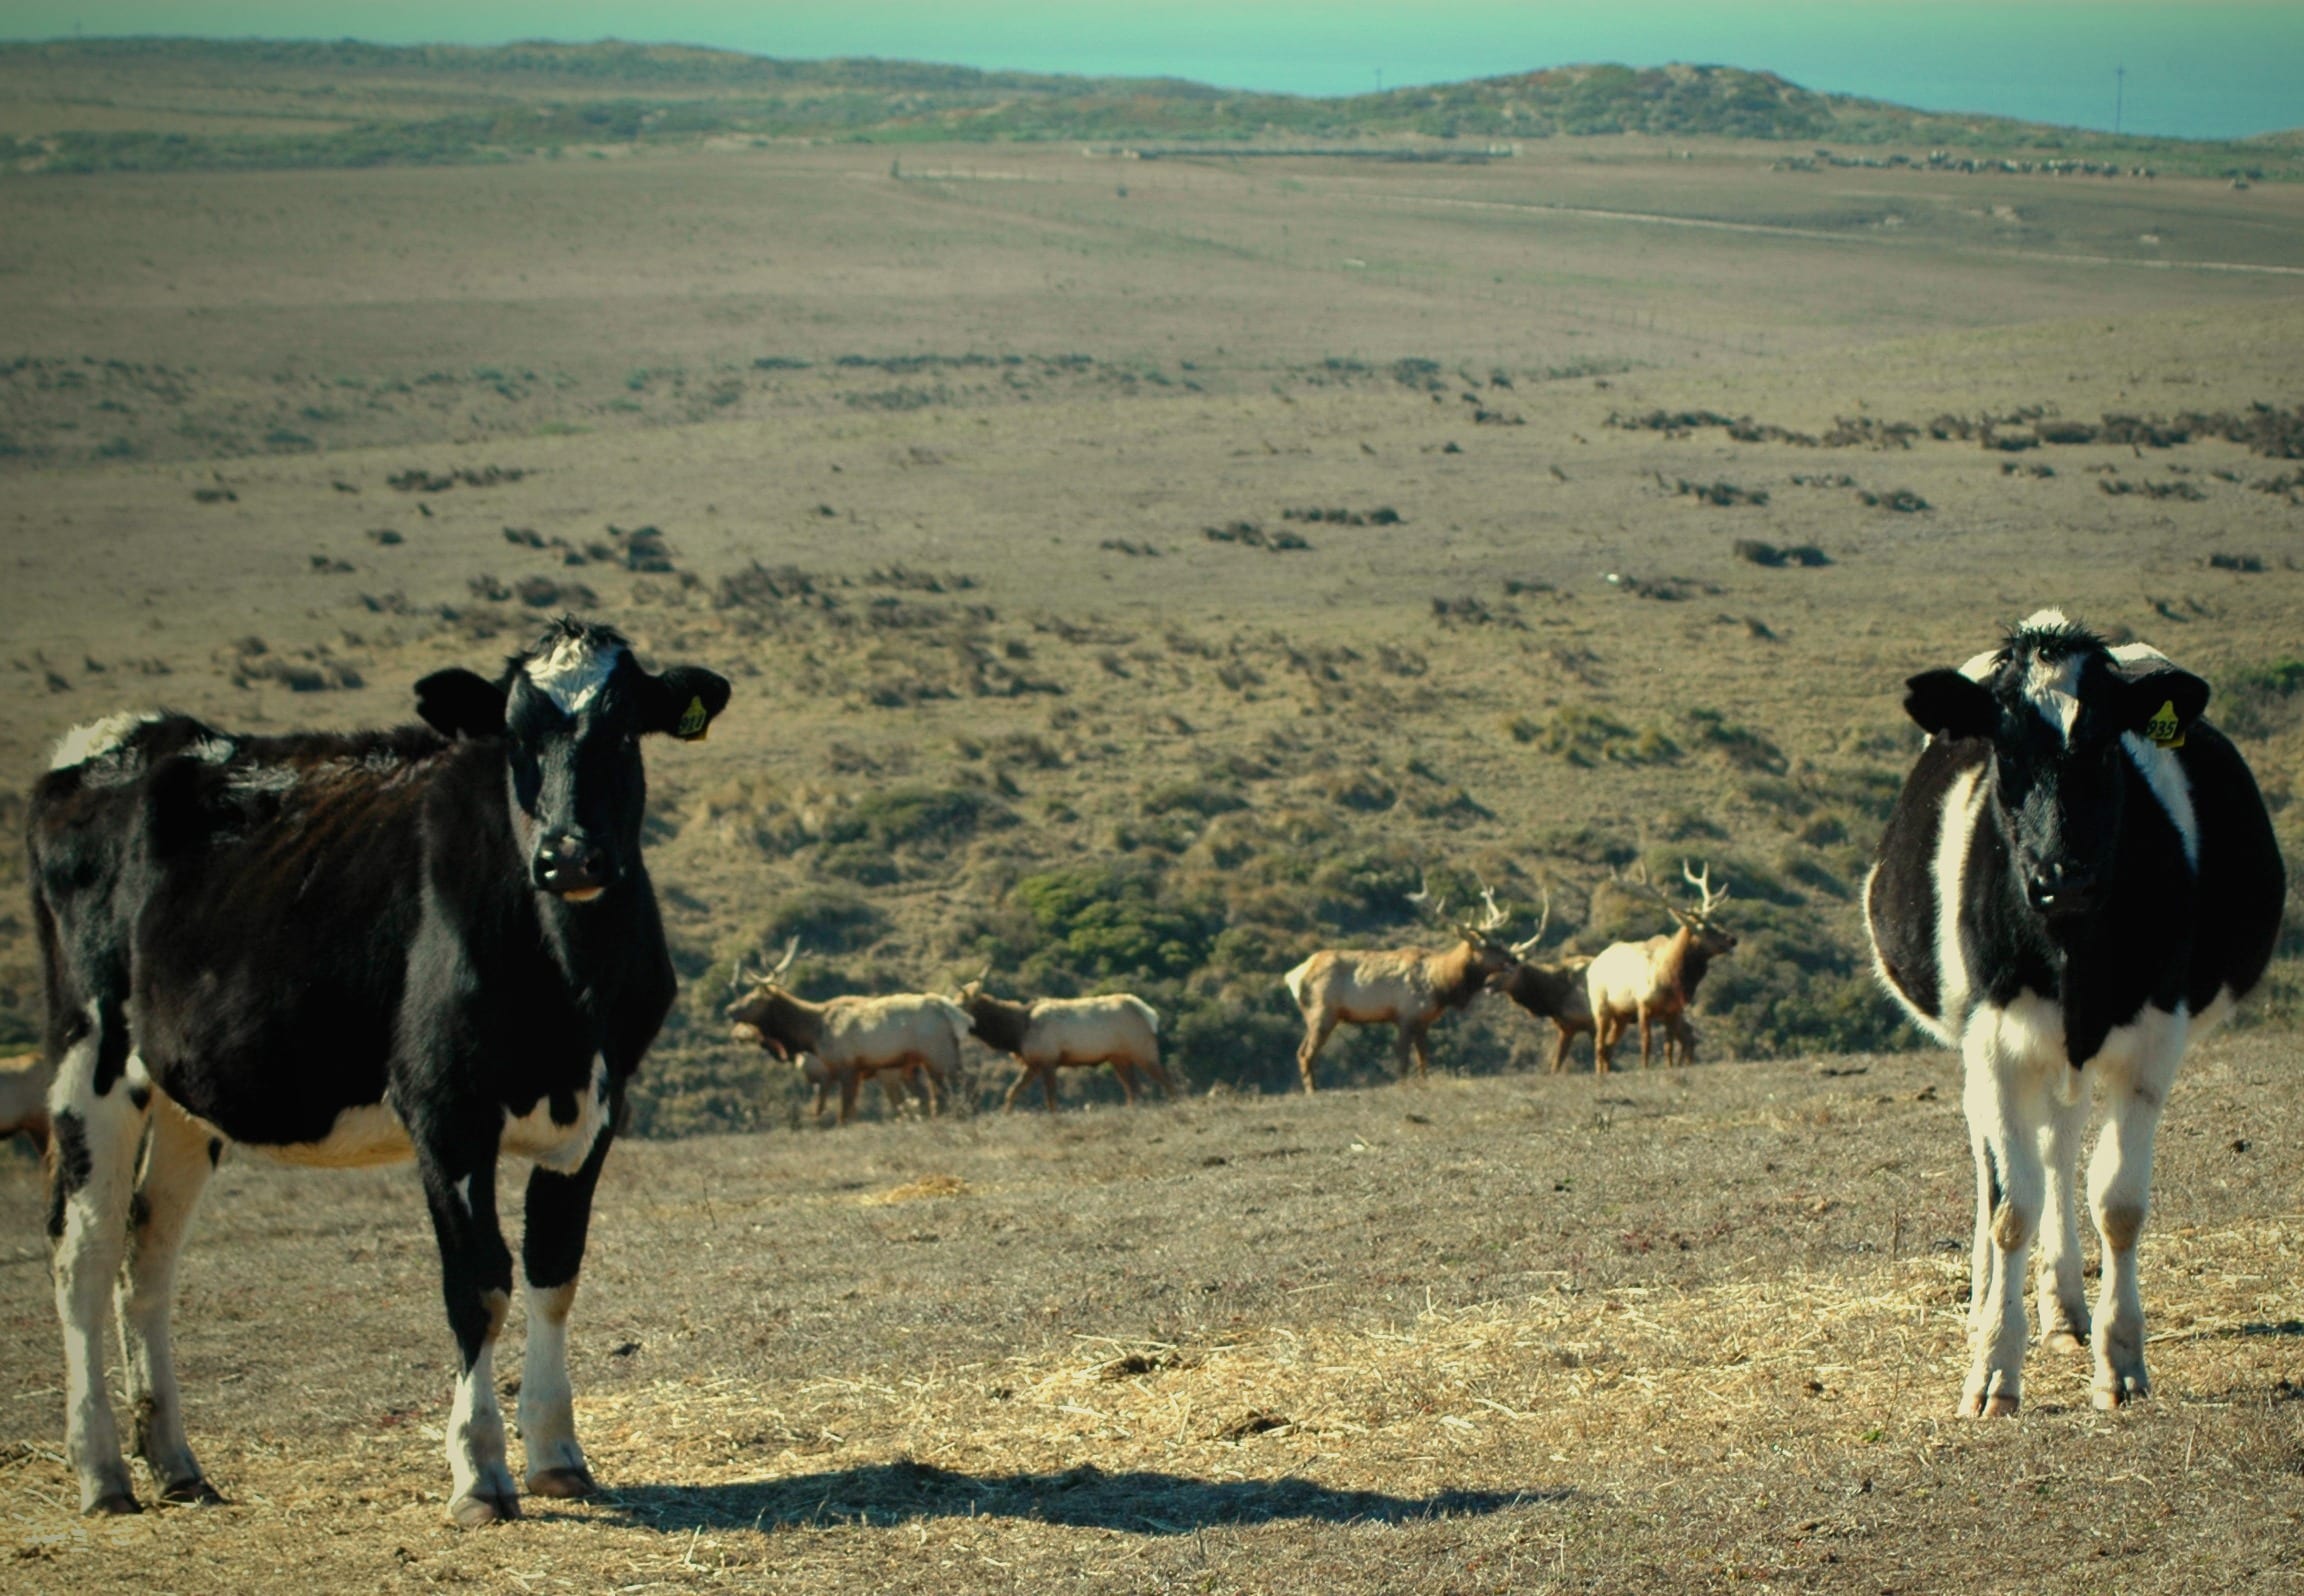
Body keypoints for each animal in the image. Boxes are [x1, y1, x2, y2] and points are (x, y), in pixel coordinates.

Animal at [33, 617, 728, 1520]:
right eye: (516, 737)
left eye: (621, 730)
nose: (569, 857)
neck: (568, 983)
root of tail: (125, 736)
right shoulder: (443, 1107)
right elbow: (479, 1284)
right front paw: (479, 1472)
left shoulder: (598, 1108)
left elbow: (554, 1272)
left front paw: (558, 1454)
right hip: (90, 1053)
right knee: (80, 1250)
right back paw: (102, 1473)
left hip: (186, 1091)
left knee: (145, 1252)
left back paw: (178, 1466)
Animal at [1281, 879, 1529, 1091]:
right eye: (1488, 946)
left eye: (1501, 941)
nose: (1514, 960)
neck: (1441, 985)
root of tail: (1293, 975)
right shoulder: (1405, 1015)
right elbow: (1403, 1058)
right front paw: (1403, 1086)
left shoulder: (1423, 1021)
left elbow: (1423, 1058)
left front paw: (1424, 1083)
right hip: (1322, 1012)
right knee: (1305, 1053)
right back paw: (1313, 1091)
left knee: (1301, 1051)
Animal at [1594, 861, 1732, 1068]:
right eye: (1707, 930)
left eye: (1716, 923)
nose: (1733, 939)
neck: (1671, 978)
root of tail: (1593, 963)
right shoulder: (1643, 1006)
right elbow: (1646, 1044)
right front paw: (1645, 1068)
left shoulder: (1672, 1012)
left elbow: (1669, 1047)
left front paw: (1670, 1066)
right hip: (1601, 1007)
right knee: (1599, 1045)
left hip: (1622, 1016)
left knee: (1608, 1048)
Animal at [1870, 608, 2285, 1409]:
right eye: (2003, 747)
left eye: (2102, 744)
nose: (2064, 877)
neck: (2069, 946)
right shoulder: (1993, 1042)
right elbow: (2010, 1208)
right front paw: (1993, 1370)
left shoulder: (2154, 1037)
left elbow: (2117, 1202)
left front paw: (2119, 1361)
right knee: (2003, 1164)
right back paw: (1986, 1307)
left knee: (2060, 1148)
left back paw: (2064, 1311)